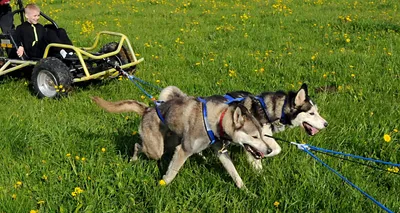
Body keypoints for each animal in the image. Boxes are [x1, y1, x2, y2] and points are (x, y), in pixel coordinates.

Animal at [91, 88, 272, 188]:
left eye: (262, 134)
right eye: (254, 136)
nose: (269, 150)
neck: (214, 120)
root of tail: (147, 109)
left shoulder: (220, 151)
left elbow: (234, 173)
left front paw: (246, 191)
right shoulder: (183, 151)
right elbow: (172, 173)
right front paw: (162, 186)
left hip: (170, 143)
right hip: (156, 149)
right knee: (138, 145)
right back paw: (133, 159)